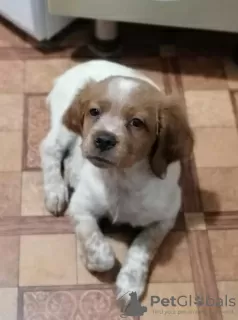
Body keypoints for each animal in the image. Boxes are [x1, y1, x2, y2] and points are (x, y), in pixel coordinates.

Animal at [40, 59, 193, 302]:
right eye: (94, 111)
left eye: (137, 123)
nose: (103, 139)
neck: (121, 178)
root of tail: (83, 64)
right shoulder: (81, 207)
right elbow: (96, 246)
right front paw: (91, 261)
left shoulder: (166, 218)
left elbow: (142, 247)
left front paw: (130, 283)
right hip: (63, 129)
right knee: (50, 149)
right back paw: (55, 191)